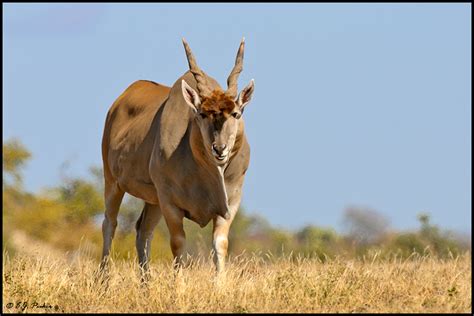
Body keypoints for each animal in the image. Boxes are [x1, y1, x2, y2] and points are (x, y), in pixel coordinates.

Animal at [100, 37, 256, 274]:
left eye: (236, 114)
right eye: (202, 114)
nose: (219, 149)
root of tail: (118, 102)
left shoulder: (229, 205)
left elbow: (220, 244)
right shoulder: (170, 203)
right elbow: (178, 244)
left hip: (153, 199)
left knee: (143, 230)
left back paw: (147, 282)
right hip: (113, 182)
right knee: (110, 223)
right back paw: (103, 278)